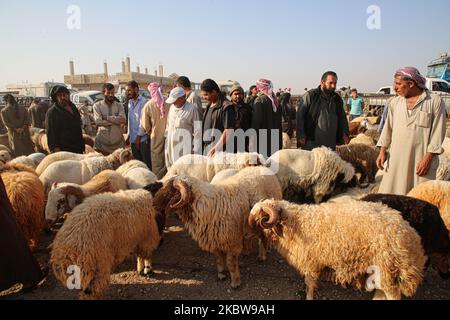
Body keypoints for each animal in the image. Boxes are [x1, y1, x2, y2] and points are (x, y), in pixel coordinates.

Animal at [248, 199, 428, 302]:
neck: (294, 222)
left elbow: (309, 283)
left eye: (259, 214)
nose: (248, 227)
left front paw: (309, 296)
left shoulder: (311, 262)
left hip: (387, 267)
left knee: (393, 295)